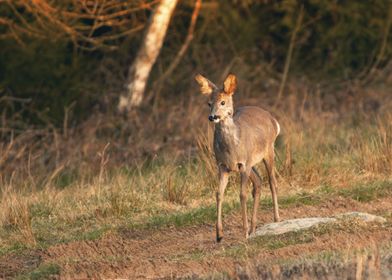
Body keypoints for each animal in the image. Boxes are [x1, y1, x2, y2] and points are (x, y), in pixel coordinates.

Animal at [195, 73, 280, 242]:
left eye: (223, 102)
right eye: (209, 103)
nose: (212, 117)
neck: (231, 149)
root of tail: (273, 121)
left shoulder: (243, 164)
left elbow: (242, 194)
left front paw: (244, 232)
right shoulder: (223, 165)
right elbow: (218, 194)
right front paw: (219, 235)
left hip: (268, 151)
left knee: (272, 182)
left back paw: (276, 220)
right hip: (252, 162)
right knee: (258, 182)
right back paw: (254, 228)